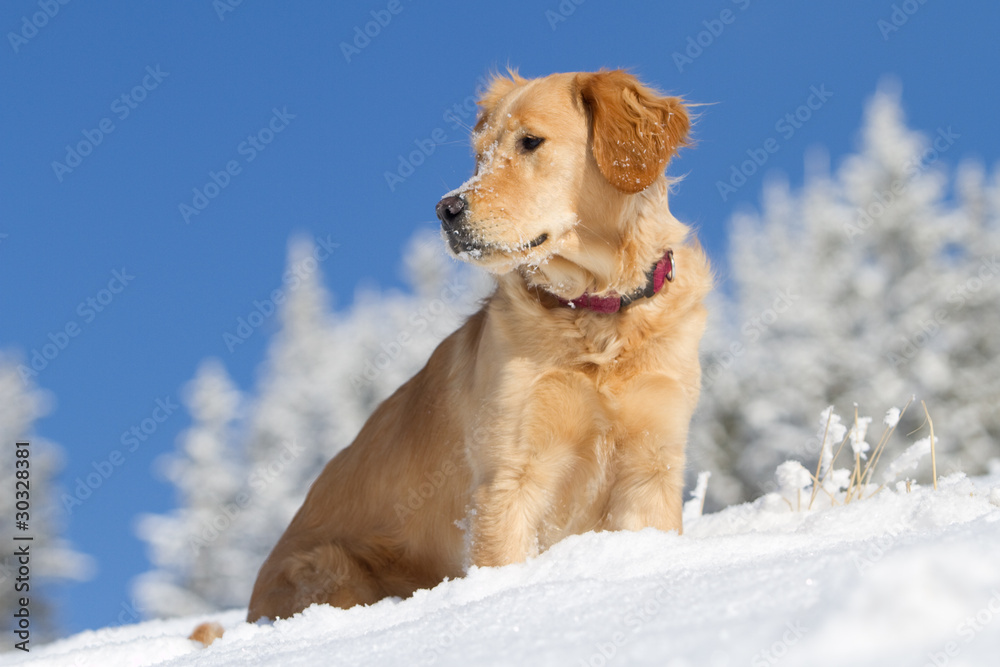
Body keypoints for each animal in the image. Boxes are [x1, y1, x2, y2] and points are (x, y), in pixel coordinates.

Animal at [244, 69, 712, 628]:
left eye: (530, 142)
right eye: (479, 155)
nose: (446, 210)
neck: (597, 313)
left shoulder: (651, 467)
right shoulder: (509, 477)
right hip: (332, 568)